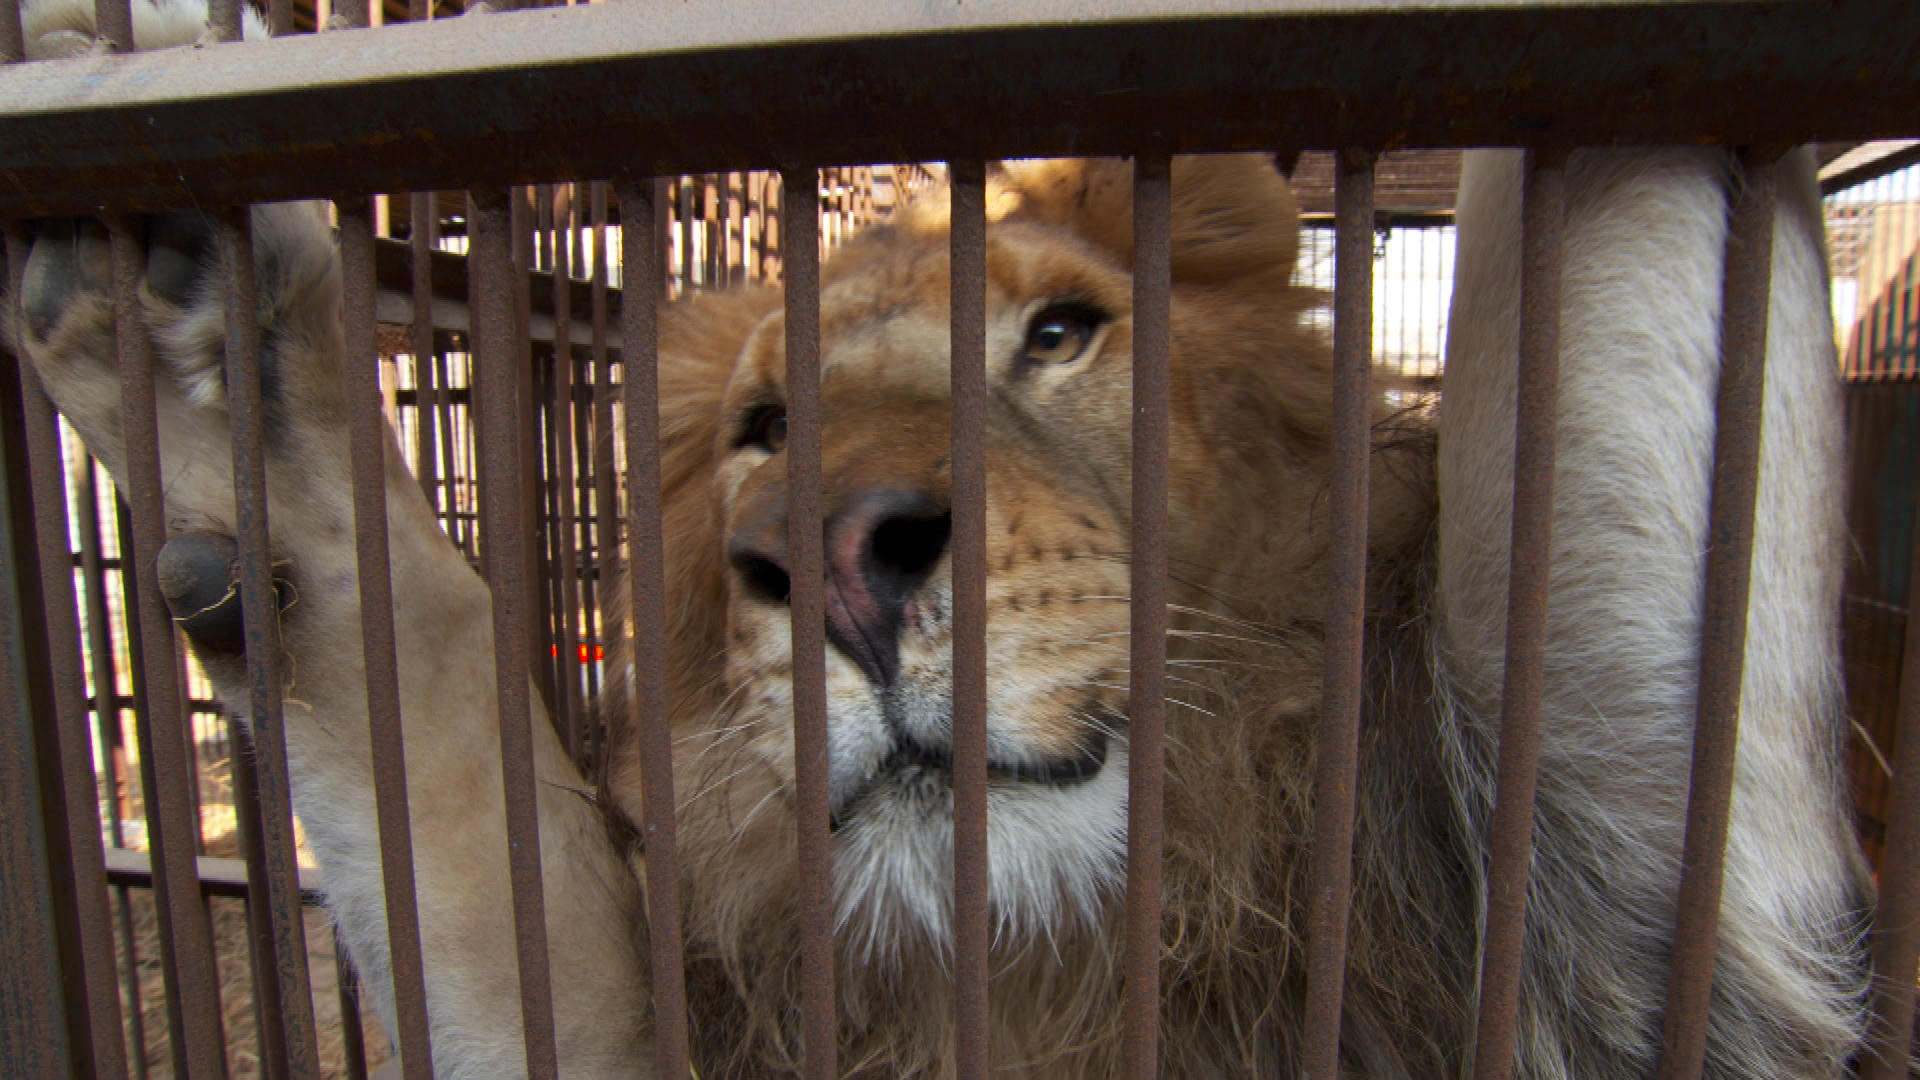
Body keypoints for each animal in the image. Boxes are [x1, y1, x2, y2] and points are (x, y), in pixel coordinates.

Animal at [11, 4, 1873, 1068]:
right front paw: (188, 322)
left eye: (1059, 336)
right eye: (765, 429)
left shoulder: (1627, 939)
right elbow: (440, 728)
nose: (836, 559)